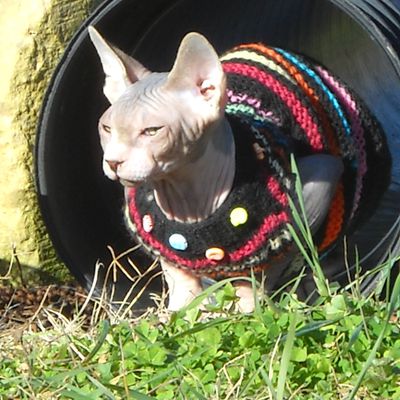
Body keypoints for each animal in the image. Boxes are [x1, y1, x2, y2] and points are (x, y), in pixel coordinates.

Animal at [88, 28, 344, 314]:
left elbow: (261, 273)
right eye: (106, 128)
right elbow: (179, 279)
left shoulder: (321, 177)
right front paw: (179, 316)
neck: (189, 204)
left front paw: (248, 314)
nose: (113, 162)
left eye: (152, 131)